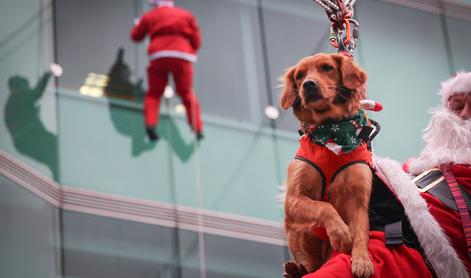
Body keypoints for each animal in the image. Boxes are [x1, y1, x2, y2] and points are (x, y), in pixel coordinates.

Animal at [282, 53, 374, 276]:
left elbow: (361, 232)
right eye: (299, 75)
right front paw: (340, 232)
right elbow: (324, 206)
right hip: (295, 232)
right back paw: (297, 269)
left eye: (326, 67)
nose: (308, 85)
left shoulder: (358, 198)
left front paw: (362, 260)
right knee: (309, 264)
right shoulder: (292, 198)